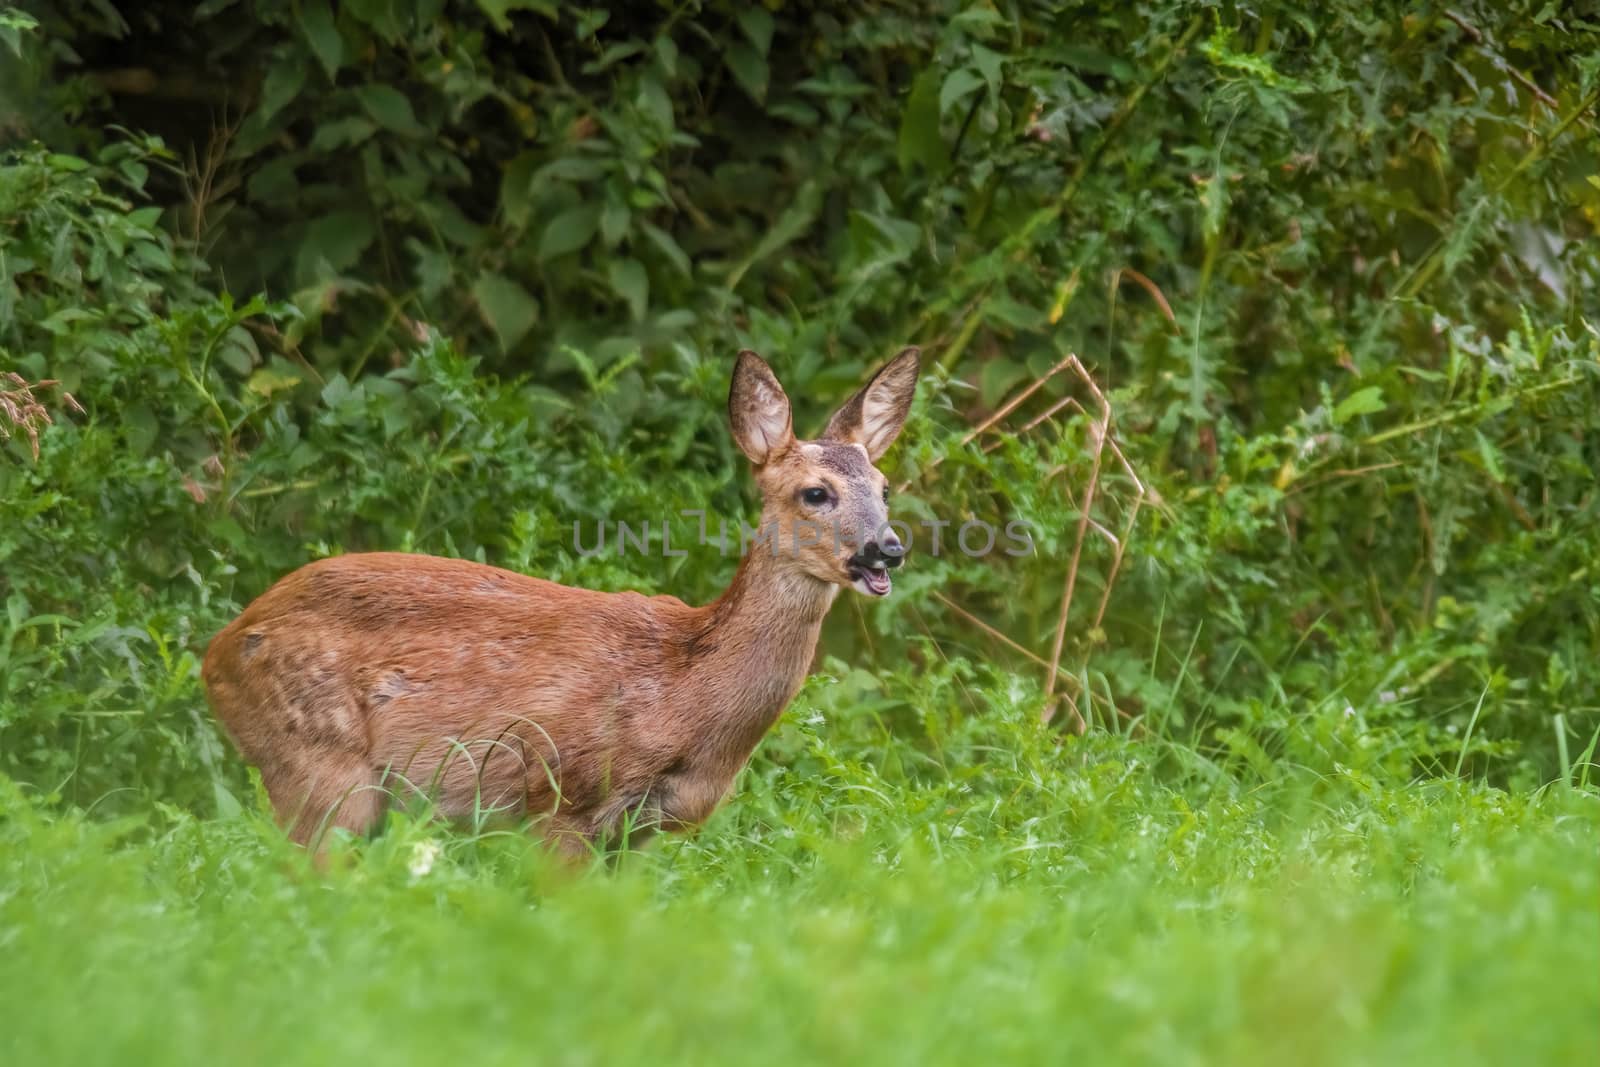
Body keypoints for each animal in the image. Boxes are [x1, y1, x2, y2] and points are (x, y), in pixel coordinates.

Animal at [206, 350, 921, 857]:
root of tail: (217, 653)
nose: (886, 549)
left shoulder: (637, 833)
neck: (685, 692)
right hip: (322, 768)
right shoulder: (562, 798)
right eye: (815, 492)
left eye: (885, 487)